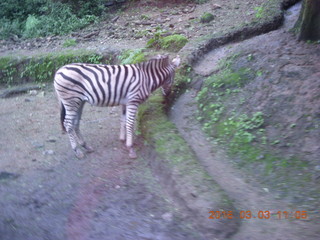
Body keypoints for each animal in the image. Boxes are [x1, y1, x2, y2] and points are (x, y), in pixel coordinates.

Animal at [53, 54, 181, 159]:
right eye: (173, 76)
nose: (168, 94)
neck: (146, 78)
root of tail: (59, 70)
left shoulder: (125, 102)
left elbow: (123, 120)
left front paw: (123, 139)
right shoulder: (133, 101)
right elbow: (130, 123)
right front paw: (131, 148)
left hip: (79, 102)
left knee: (75, 123)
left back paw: (85, 146)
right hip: (71, 101)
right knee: (68, 124)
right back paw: (77, 151)